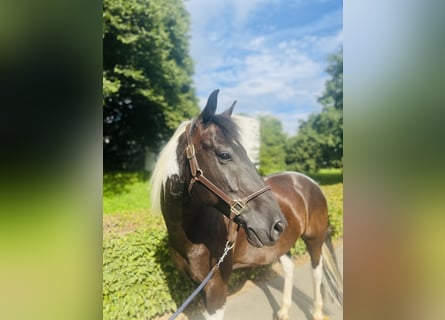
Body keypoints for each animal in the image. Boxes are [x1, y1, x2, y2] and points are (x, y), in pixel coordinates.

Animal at [151, 90, 342, 320]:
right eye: (224, 154)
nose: (277, 224)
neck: (191, 237)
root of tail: (309, 181)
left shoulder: (216, 288)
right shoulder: (197, 287)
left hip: (314, 239)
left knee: (317, 271)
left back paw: (316, 312)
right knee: (289, 268)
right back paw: (283, 311)